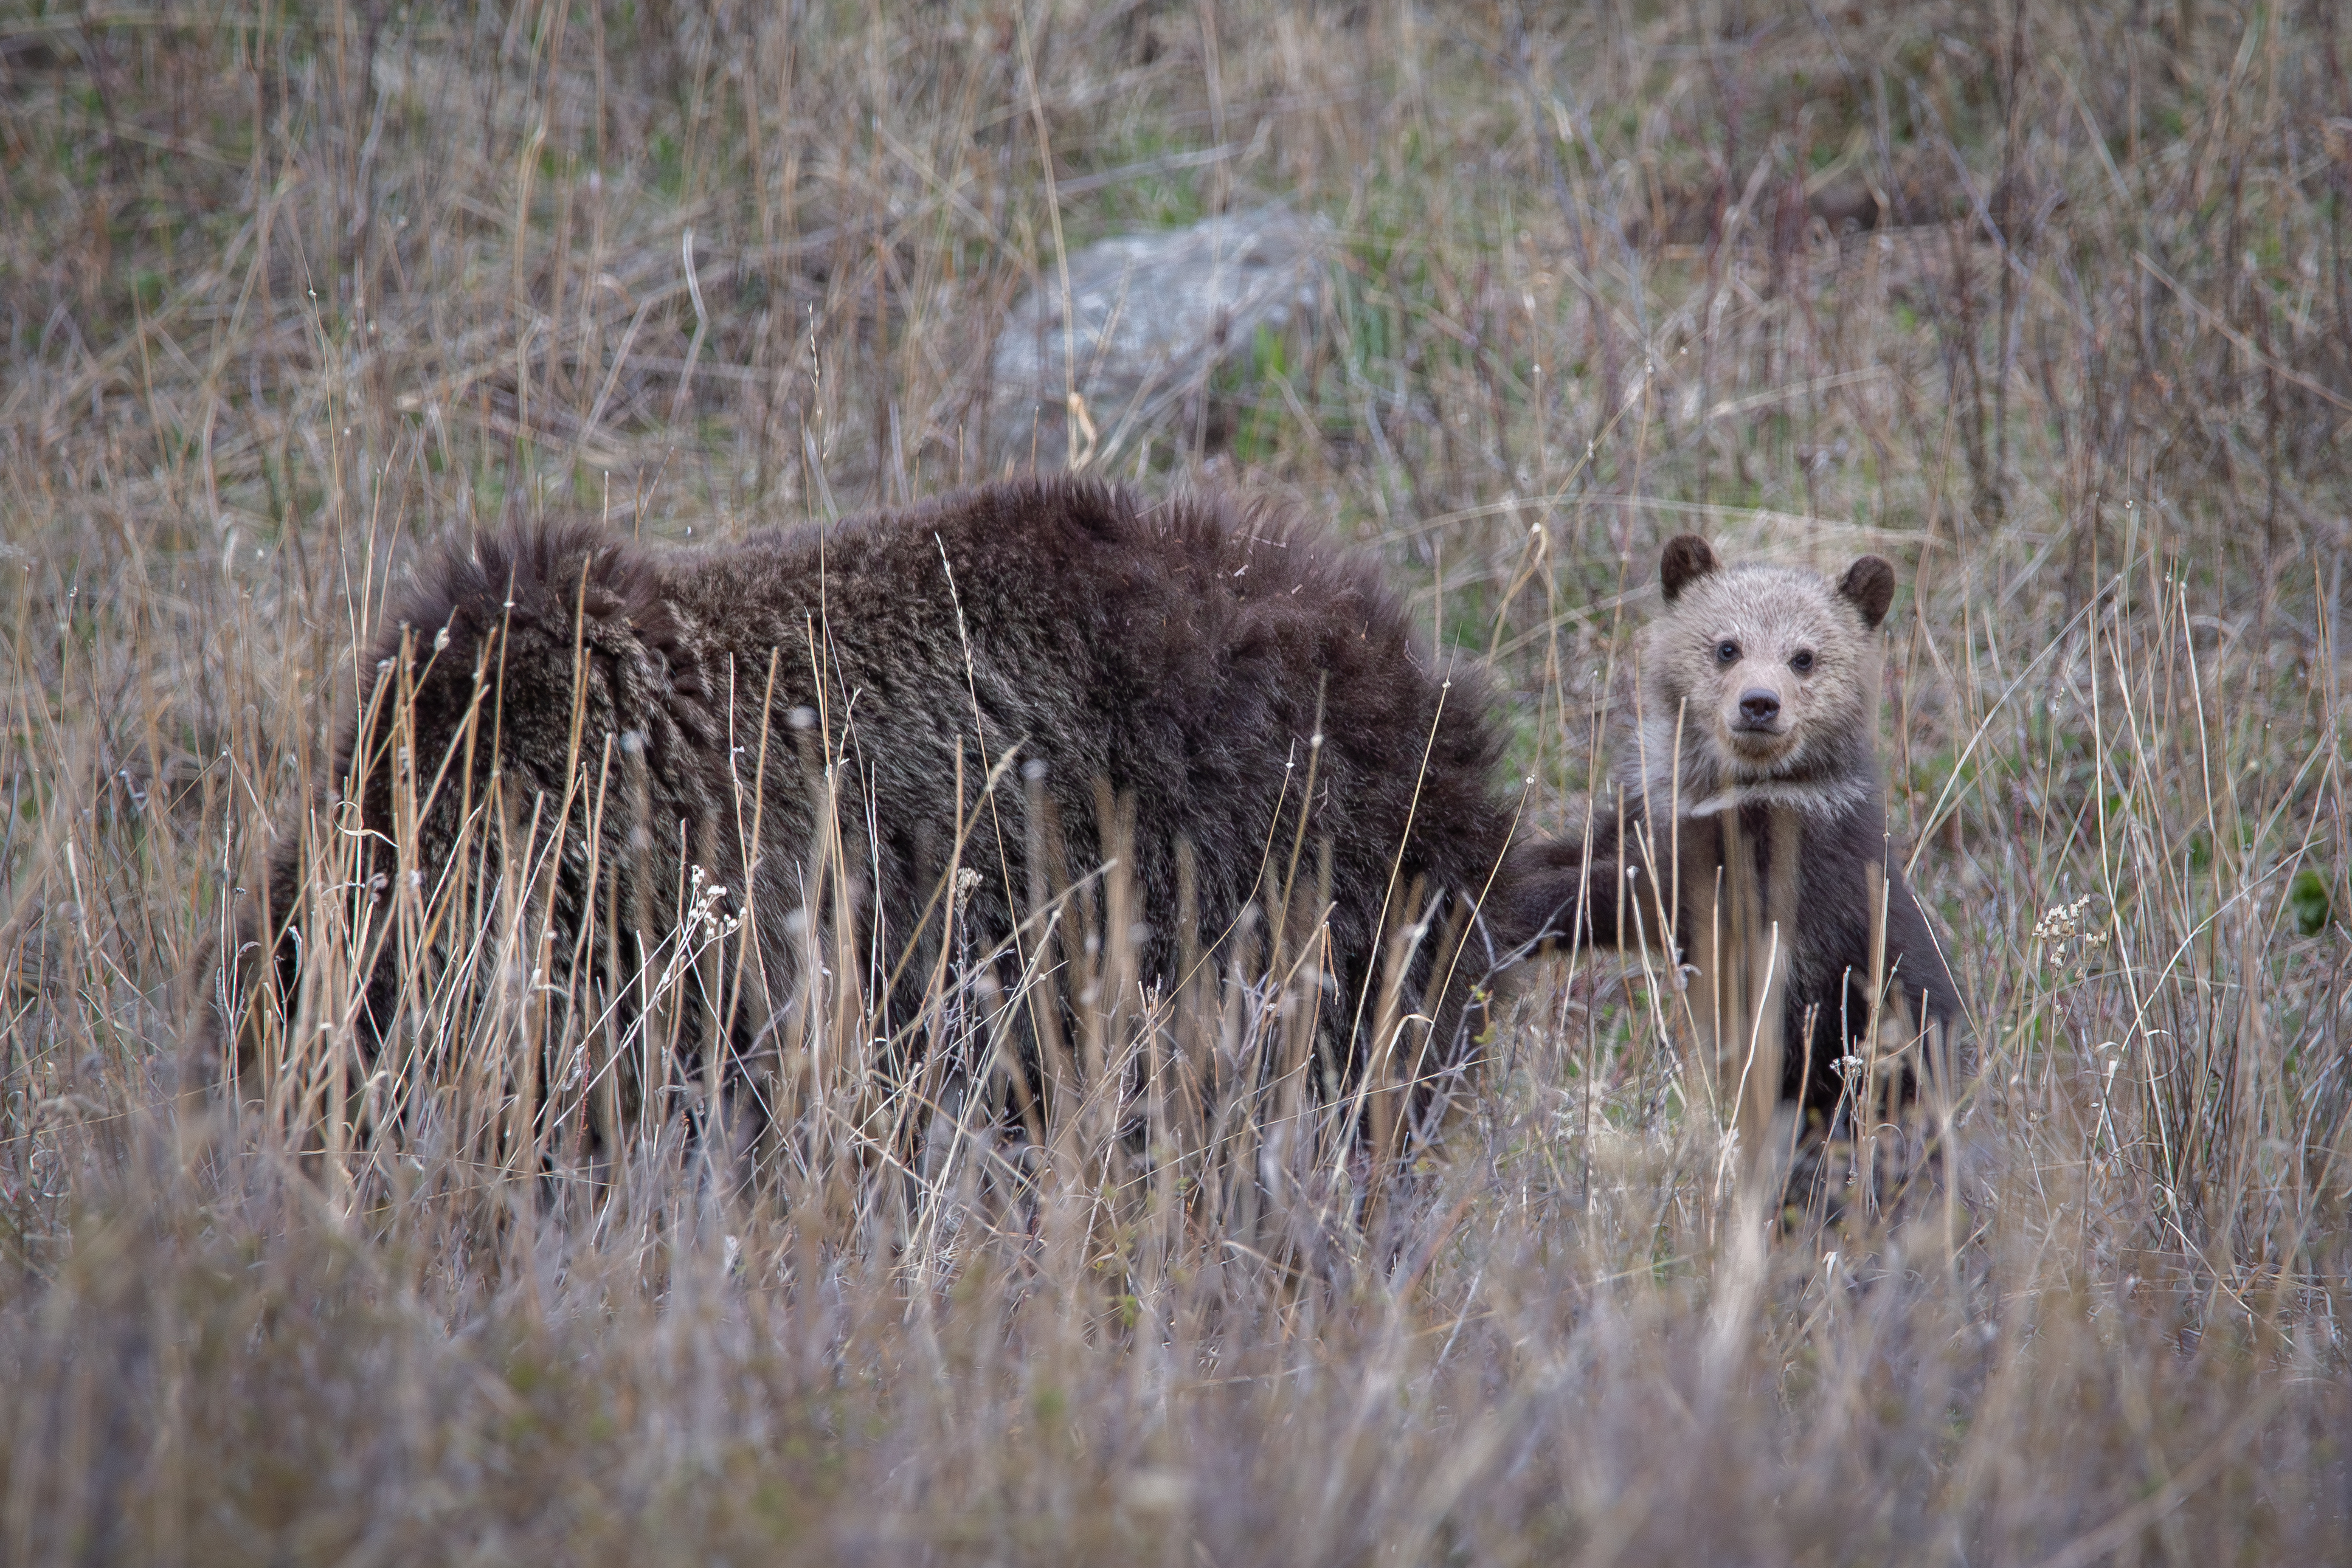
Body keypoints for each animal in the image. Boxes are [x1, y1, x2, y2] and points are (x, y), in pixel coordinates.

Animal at [1506, 533, 1961, 1156]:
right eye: (1727, 646)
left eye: (1804, 656)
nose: (1760, 703)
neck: (1727, 789)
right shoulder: (1650, 811)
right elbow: (1583, 851)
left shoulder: (1775, 864)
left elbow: (1638, 894)